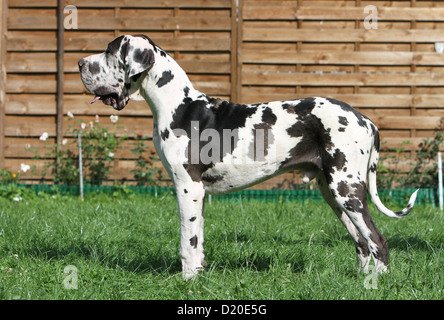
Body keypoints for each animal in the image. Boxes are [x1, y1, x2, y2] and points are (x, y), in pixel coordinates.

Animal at [80, 35, 420, 278]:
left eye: (109, 51)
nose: (80, 62)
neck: (178, 105)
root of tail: (366, 120)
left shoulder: (187, 186)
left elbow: (186, 241)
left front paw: (187, 281)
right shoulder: (199, 192)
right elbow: (198, 240)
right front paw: (198, 276)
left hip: (347, 190)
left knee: (377, 241)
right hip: (333, 193)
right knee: (362, 243)